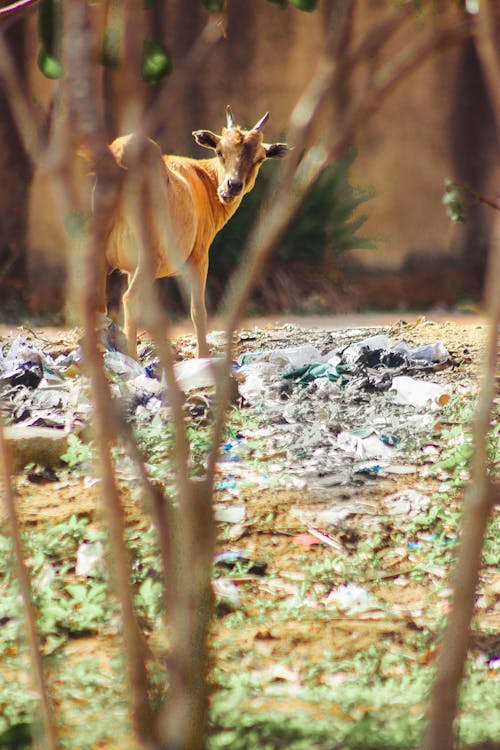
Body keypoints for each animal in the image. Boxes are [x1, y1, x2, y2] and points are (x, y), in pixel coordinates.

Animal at [97, 106, 290, 362]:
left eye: (259, 158)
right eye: (219, 151)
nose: (231, 187)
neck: (201, 178)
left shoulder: (130, 269)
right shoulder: (198, 256)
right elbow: (198, 309)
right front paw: (202, 356)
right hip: (149, 255)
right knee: (130, 299)